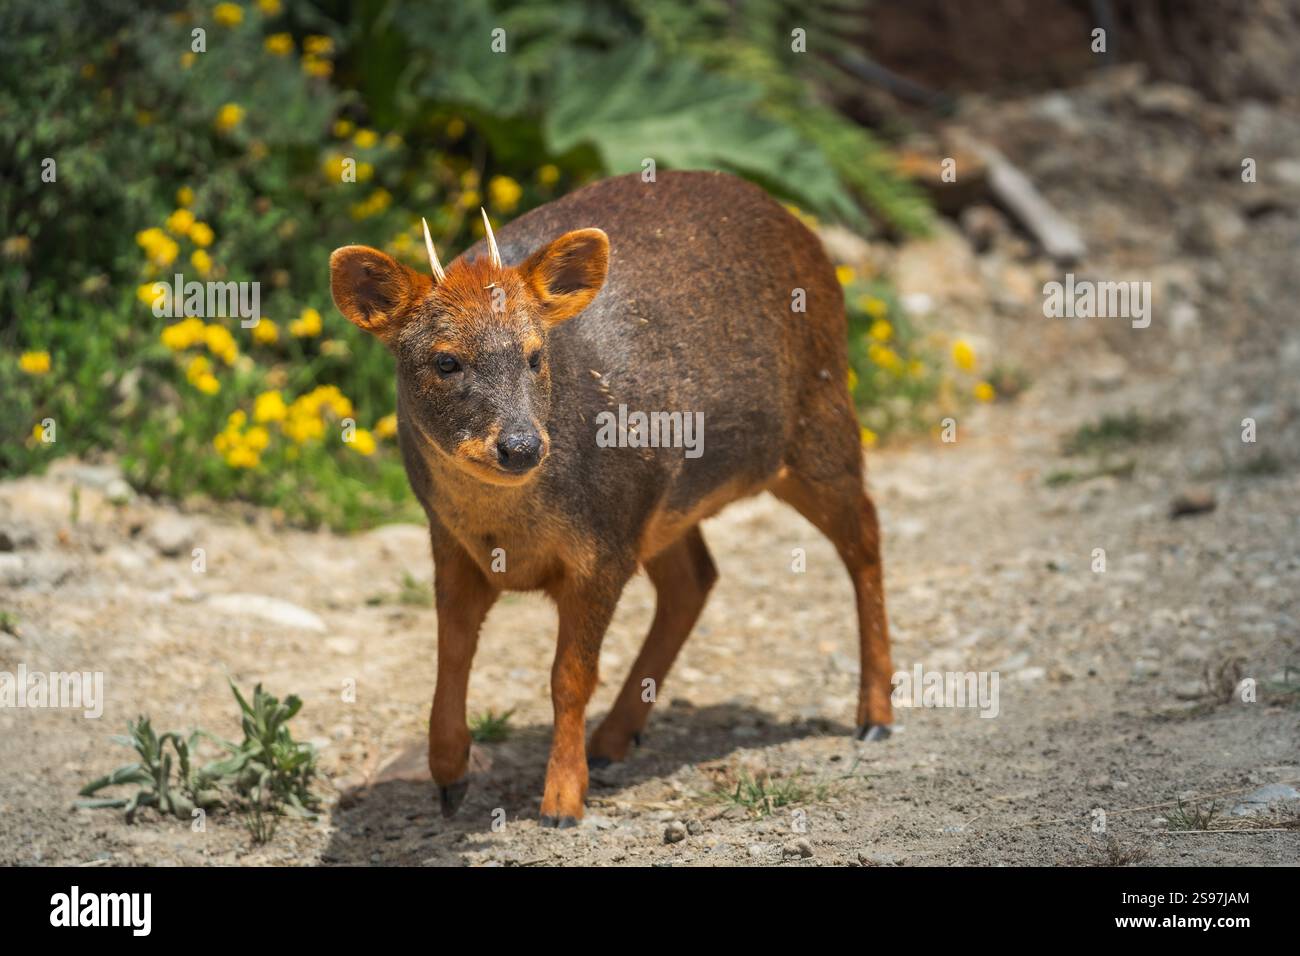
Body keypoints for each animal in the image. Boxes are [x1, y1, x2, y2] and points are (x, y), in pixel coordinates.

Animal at [329, 170, 893, 828]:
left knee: (865, 536)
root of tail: (804, 231)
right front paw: (449, 779)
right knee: (696, 579)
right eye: (445, 361)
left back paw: (875, 717)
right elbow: (451, 655)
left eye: (534, 354)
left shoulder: (604, 543)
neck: (510, 530)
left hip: (819, 418)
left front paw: (561, 801)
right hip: (668, 500)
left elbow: (569, 677)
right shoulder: (450, 541)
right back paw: (614, 740)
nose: (521, 446)